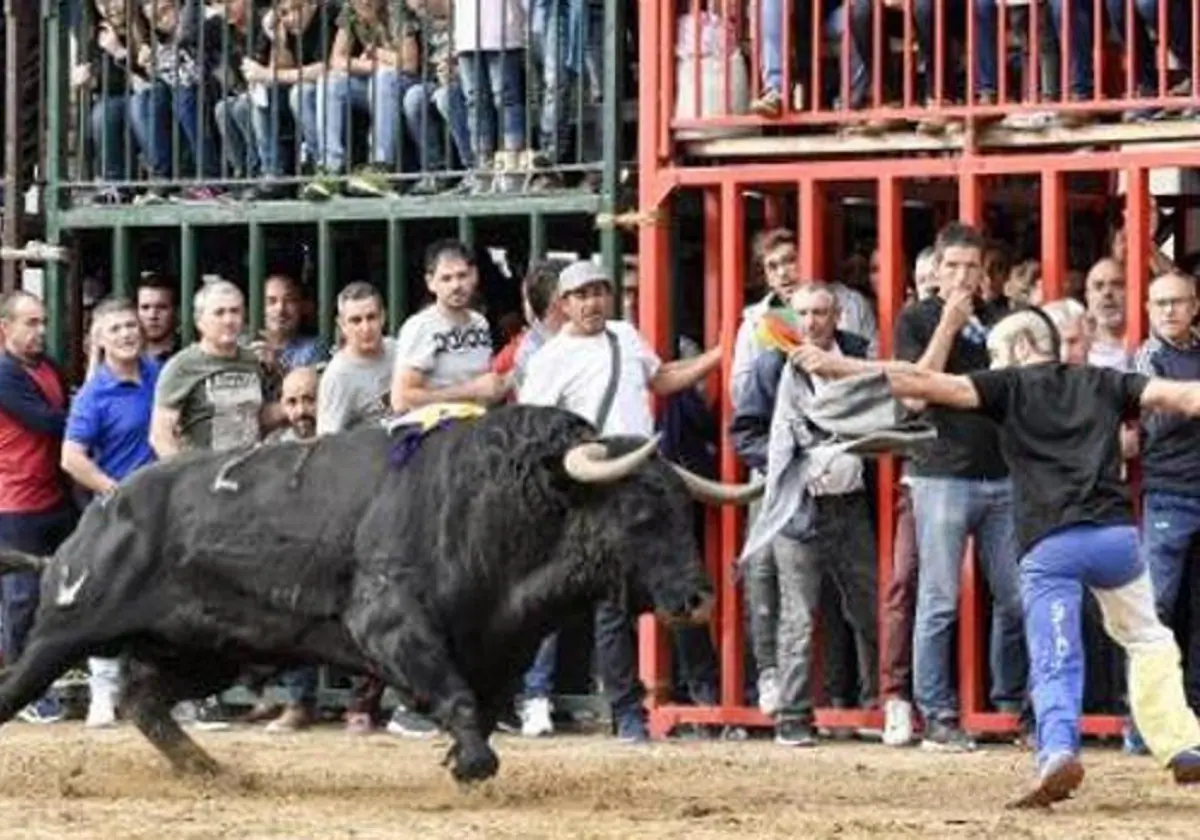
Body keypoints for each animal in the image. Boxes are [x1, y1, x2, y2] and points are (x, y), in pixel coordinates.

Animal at [0, 405, 758, 782]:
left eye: (682, 509)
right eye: (639, 512)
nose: (698, 599)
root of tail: (102, 513)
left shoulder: (503, 648)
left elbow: (483, 705)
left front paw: (461, 754)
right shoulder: (390, 622)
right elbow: (455, 697)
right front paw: (473, 764)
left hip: (209, 651)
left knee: (144, 699)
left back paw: (211, 771)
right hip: (64, 630)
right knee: (22, 685)